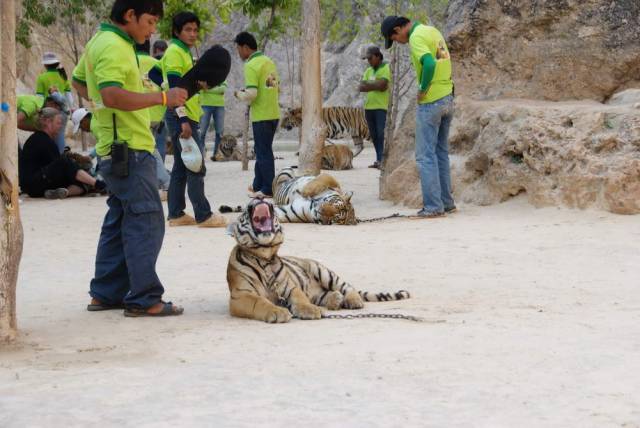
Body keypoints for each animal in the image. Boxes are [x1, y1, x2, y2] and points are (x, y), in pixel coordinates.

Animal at [228, 199, 412, 322]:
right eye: (244, 211)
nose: (259, 196)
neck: (265, 256)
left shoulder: (291, 287)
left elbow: (300, 299)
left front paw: (310, 310)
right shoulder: (241, 295)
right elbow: (260, 302)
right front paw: (278, 312)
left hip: (323, 271)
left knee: (348, 287)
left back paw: (352, 301)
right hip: (318, 288)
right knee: (323, 295)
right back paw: (336, 300)